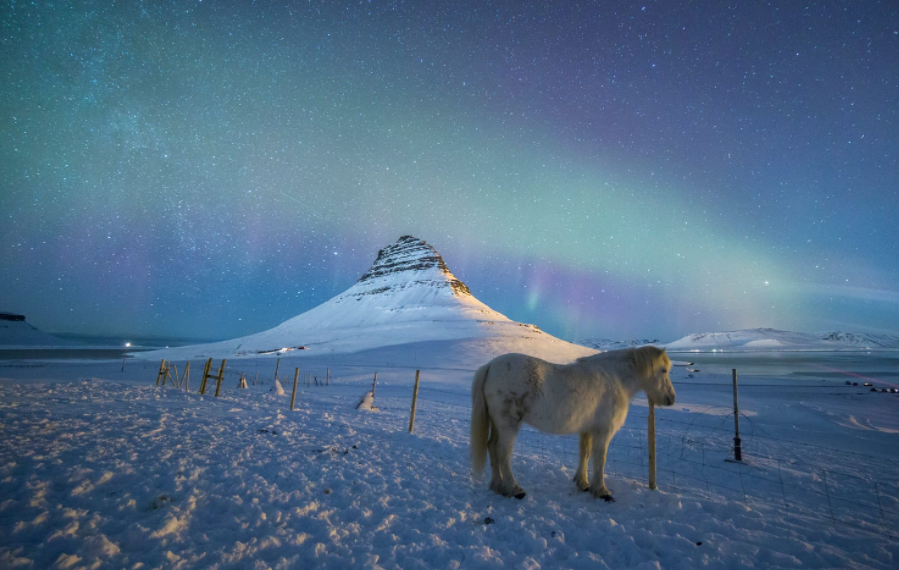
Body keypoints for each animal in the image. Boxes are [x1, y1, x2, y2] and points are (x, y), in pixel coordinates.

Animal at [472, 344, 676, 500]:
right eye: (664, 370)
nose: (671, 399)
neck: (615, 377)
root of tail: (490, 366)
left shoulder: (588, 429)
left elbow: (585, 453)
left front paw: (583, 483)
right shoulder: (604, 431)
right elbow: (600, 458)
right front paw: (602, 491)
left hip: (497, 424)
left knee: (492, 447)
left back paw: (498, 486)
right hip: (508, 425)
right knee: (502, 453)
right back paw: (515, 490)